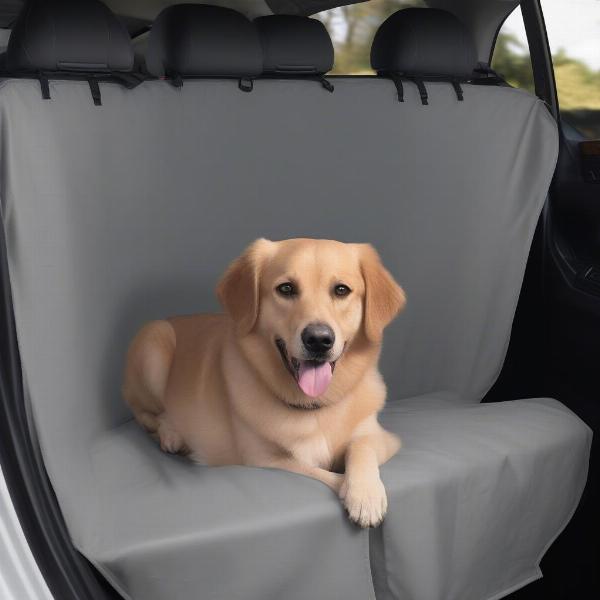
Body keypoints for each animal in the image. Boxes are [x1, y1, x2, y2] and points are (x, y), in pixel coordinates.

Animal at [125, 237, 408, 528]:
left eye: (341, 290)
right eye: (286, 288)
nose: (318, 339)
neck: (314, 408)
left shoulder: (383, 437)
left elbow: (361, 447)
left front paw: (366, 494)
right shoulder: (265, 459)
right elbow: (321, 473)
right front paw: (353, 490)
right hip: (154, 343)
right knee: (147, 416)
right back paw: (172, 435)